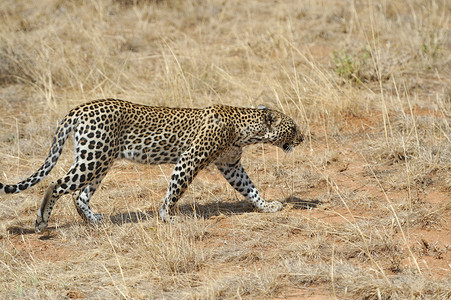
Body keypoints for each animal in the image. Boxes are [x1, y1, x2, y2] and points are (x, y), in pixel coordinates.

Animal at [0, 99, 304, 232]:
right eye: (293, 128)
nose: (302, 138)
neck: (244, 129)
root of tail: (79, 108)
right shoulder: (190, 159)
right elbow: (175, 189)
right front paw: (167, 216)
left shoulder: (231, 166)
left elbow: (250, 188)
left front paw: (267, 206)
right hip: (93, 158)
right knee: (57, 184)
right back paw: (41, 221)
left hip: (100, 160)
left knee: (79, 195)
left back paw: (95, 221)